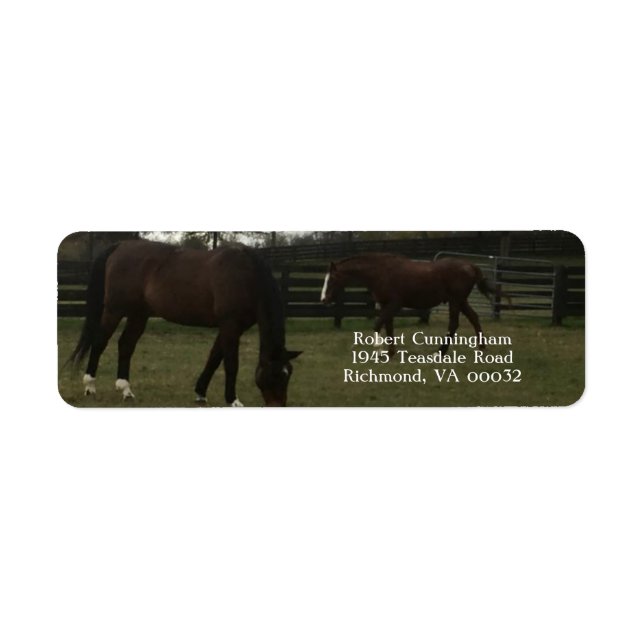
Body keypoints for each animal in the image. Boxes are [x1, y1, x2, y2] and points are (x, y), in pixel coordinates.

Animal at [68, 240, 301, 406]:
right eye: (274, 375)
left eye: (288, 374)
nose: (278, 405)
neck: (246, 276)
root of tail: (120, 246)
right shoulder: (230, 325)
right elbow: (230, 363)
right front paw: (233, 400)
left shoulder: (231, 327)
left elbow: (214, 358)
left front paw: (200, 393)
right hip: (114, 310)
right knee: (100, 342)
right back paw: (90, 386)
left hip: (139, 314)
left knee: (126, 344)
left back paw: (126, 390)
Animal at [320, 253, 496, 354]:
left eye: (332, 279)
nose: (323, 300)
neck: (380, 272)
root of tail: (470, 266)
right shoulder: (385, 305)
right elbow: (388, 327)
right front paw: (391, 352)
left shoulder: (394, 304)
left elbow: (377, 324)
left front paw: (378, 349)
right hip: (461, 301)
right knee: (474, 318)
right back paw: (481, 347)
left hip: (455, 301)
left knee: (453, 324)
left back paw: (440, 352)